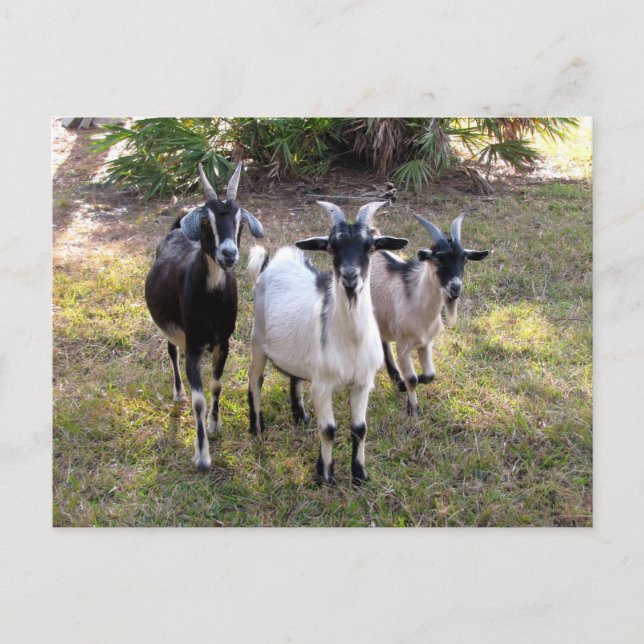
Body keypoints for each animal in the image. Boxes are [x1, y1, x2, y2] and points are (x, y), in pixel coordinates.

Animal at [145, 162, 264, 470]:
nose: (228, 254)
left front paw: (215, 424)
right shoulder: (194, 346)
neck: (211, 304)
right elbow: (198, 399)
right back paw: (177, 393)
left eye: (240, 222)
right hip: (171, 331)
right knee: (171, 353)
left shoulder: (223, 343)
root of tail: (176, 229)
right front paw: (201, 455)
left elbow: (217, 384)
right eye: (205, 222)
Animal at [246, 201, 408, 485]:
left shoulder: (362, 383)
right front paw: (325, 475)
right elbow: (329, 430)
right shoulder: (322, 386)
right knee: (255, 379)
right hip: (258, 341)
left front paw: (359, 475)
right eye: (332, 246)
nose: (350, 276)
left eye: (370, 246)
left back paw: (300, 416)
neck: (350, 341)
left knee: (294, 377)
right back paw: (256, 426)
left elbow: (360, 429)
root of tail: (273, 262)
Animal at [370, 212, 490, 415]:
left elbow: (430, 375)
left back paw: (397, 379)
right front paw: (413, 408)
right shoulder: (403, 346)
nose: (455, 287)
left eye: (464, 260)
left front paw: (411, 384)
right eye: (436, 261)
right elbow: (412, 379)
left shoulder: (425, 344)